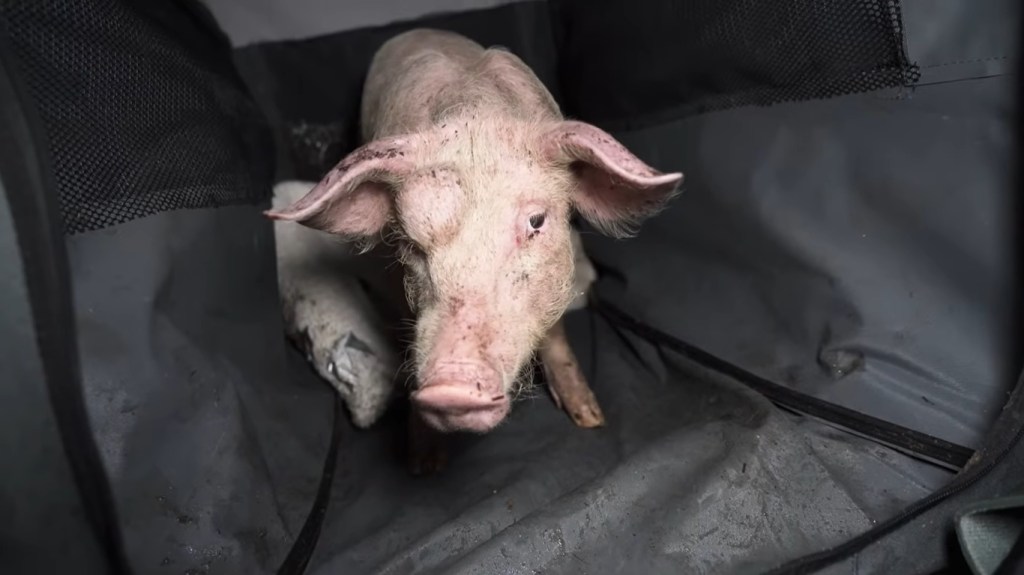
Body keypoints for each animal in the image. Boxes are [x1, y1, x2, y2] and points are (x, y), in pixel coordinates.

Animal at [266, 29, 683, 466]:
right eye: (409, 239)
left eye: (537, 221)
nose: (450, 388)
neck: (473, 116)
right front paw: (422, 465)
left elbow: (555, 334)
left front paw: (590, 419)